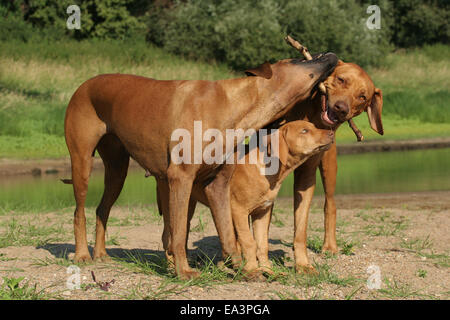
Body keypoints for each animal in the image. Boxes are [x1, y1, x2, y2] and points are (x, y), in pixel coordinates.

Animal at [64, 51, 338, 278]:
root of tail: (83, 86)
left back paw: (101, 254)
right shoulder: (181, 178)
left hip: (117, 170)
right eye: (298, 60)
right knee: (79, 212)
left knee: (102, 209)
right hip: (82, 163)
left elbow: (228, 235)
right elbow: (179, 235)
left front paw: (243, 268)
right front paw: (184, 272)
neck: (232, 107)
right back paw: (83, 254)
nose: (331, 53)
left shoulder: (218, 184)